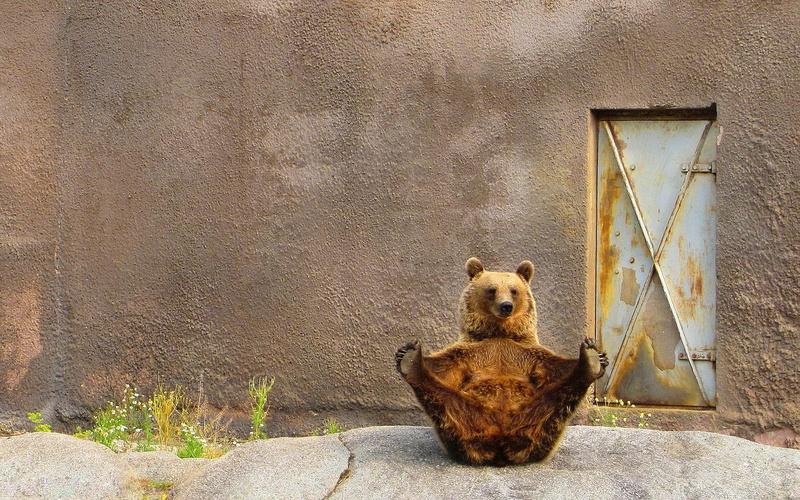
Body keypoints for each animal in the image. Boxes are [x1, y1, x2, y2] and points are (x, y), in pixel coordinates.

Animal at [395, 257, 608, 466]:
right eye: (492, 289)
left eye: (514, 290)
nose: (506, 305)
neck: (499, 333)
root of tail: (499, 444)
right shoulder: (470, 352)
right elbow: (444, 367)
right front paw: (405, 351)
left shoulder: (527, 354)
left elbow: (556, 368)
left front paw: (599, 356)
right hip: (468, 415)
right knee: (444, 403)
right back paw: (411, 362)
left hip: (535, 419)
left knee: (556, 401)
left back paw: (589, 361)